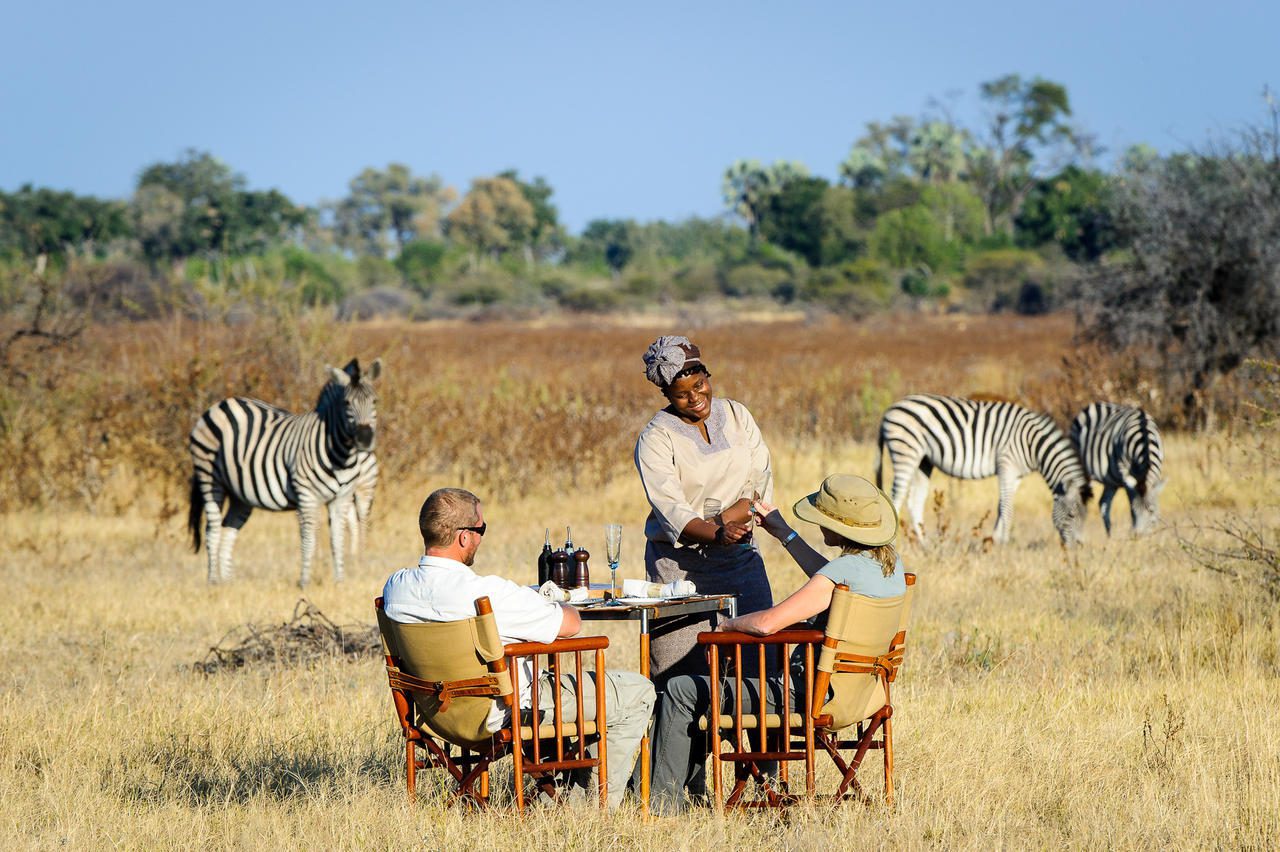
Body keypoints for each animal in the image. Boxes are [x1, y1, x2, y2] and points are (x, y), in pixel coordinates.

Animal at [186, 355, 381, 583]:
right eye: (347, 403)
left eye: (374, 401)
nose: (365, 438)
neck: (341, 454)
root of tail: (220, 404)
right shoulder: (306, 495)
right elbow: (309, 538)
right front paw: (305, 581)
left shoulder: (341, 498)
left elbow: (337, 540)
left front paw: (339, 581)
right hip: (209, 475)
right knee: (213, 528)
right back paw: (213, 581)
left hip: (240, 494)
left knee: (229, 527)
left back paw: (228, 582)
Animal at [875, 391, 1095, 544]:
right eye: (1072, 515)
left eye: (1086, 517)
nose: (1078, 547)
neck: (1033, 444)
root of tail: (890, 409)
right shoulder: (1006, 465)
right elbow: (1007, 508)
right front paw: (1004, 544)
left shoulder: (1016, 475)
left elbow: (1002, 505)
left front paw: (995, 541)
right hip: (906, 450)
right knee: (896, 497)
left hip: (923, 460)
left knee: (915, 501)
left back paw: (925, 544)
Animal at [1064, 401, 1167, 534]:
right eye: (1134, 509)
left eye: (1151, 510)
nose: (1138, 535)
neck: (1144, 435)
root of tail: (1090, 406)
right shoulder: (1125, 471)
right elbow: (1131, 498)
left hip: (1110, 480)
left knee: (1103, 503)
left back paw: (1110, 536)